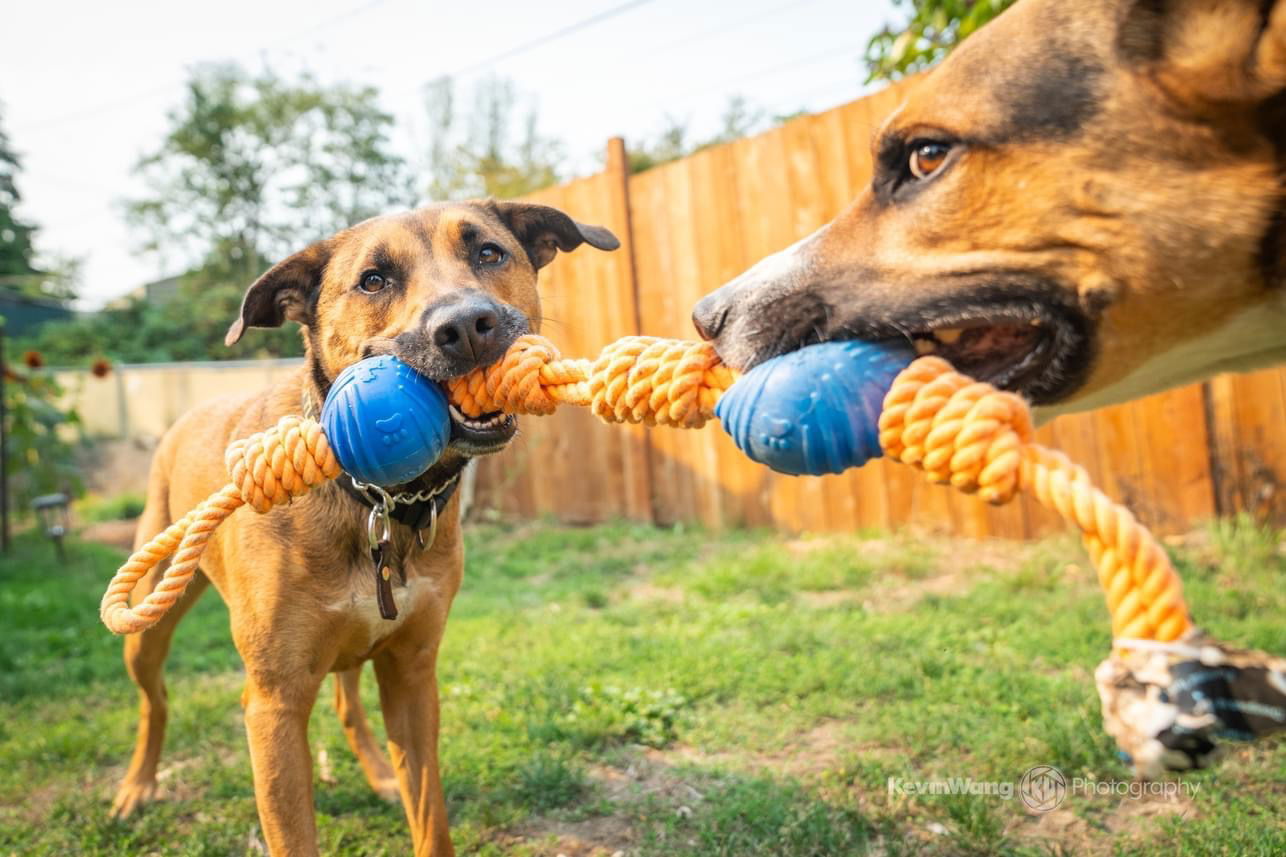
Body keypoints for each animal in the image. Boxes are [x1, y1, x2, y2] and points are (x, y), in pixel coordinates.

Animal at [108, 196, 619, 849]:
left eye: (489, 252)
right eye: (373, 280)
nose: (466, 326)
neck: (379, 500)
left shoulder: (412, 674)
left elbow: (430, 816)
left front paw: (401, 789)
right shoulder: (274, 703)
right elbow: (292, 834)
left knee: (347, 701)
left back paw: (377, 773)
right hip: (149, 624)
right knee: (155, 700)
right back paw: (136, 787)